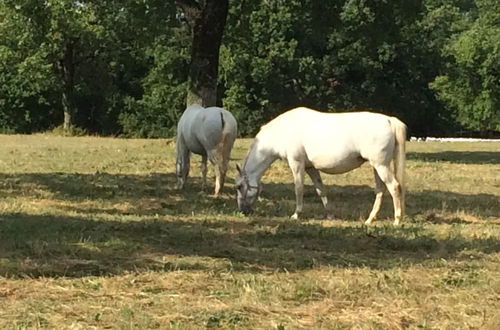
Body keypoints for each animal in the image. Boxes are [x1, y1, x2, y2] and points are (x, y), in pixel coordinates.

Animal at [235, 107, 406, 226]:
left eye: (239, 187)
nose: (242, 211)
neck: (282, 132)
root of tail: (389, 121)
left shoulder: (297, 164)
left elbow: (299, 189)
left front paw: (296, 215)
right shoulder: (311, 168)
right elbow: (320, 190)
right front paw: (330, 214)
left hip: (381, 165)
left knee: (394, 187)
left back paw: (397, 221)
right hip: (377, 166)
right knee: (380, 190)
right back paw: (370, 219)